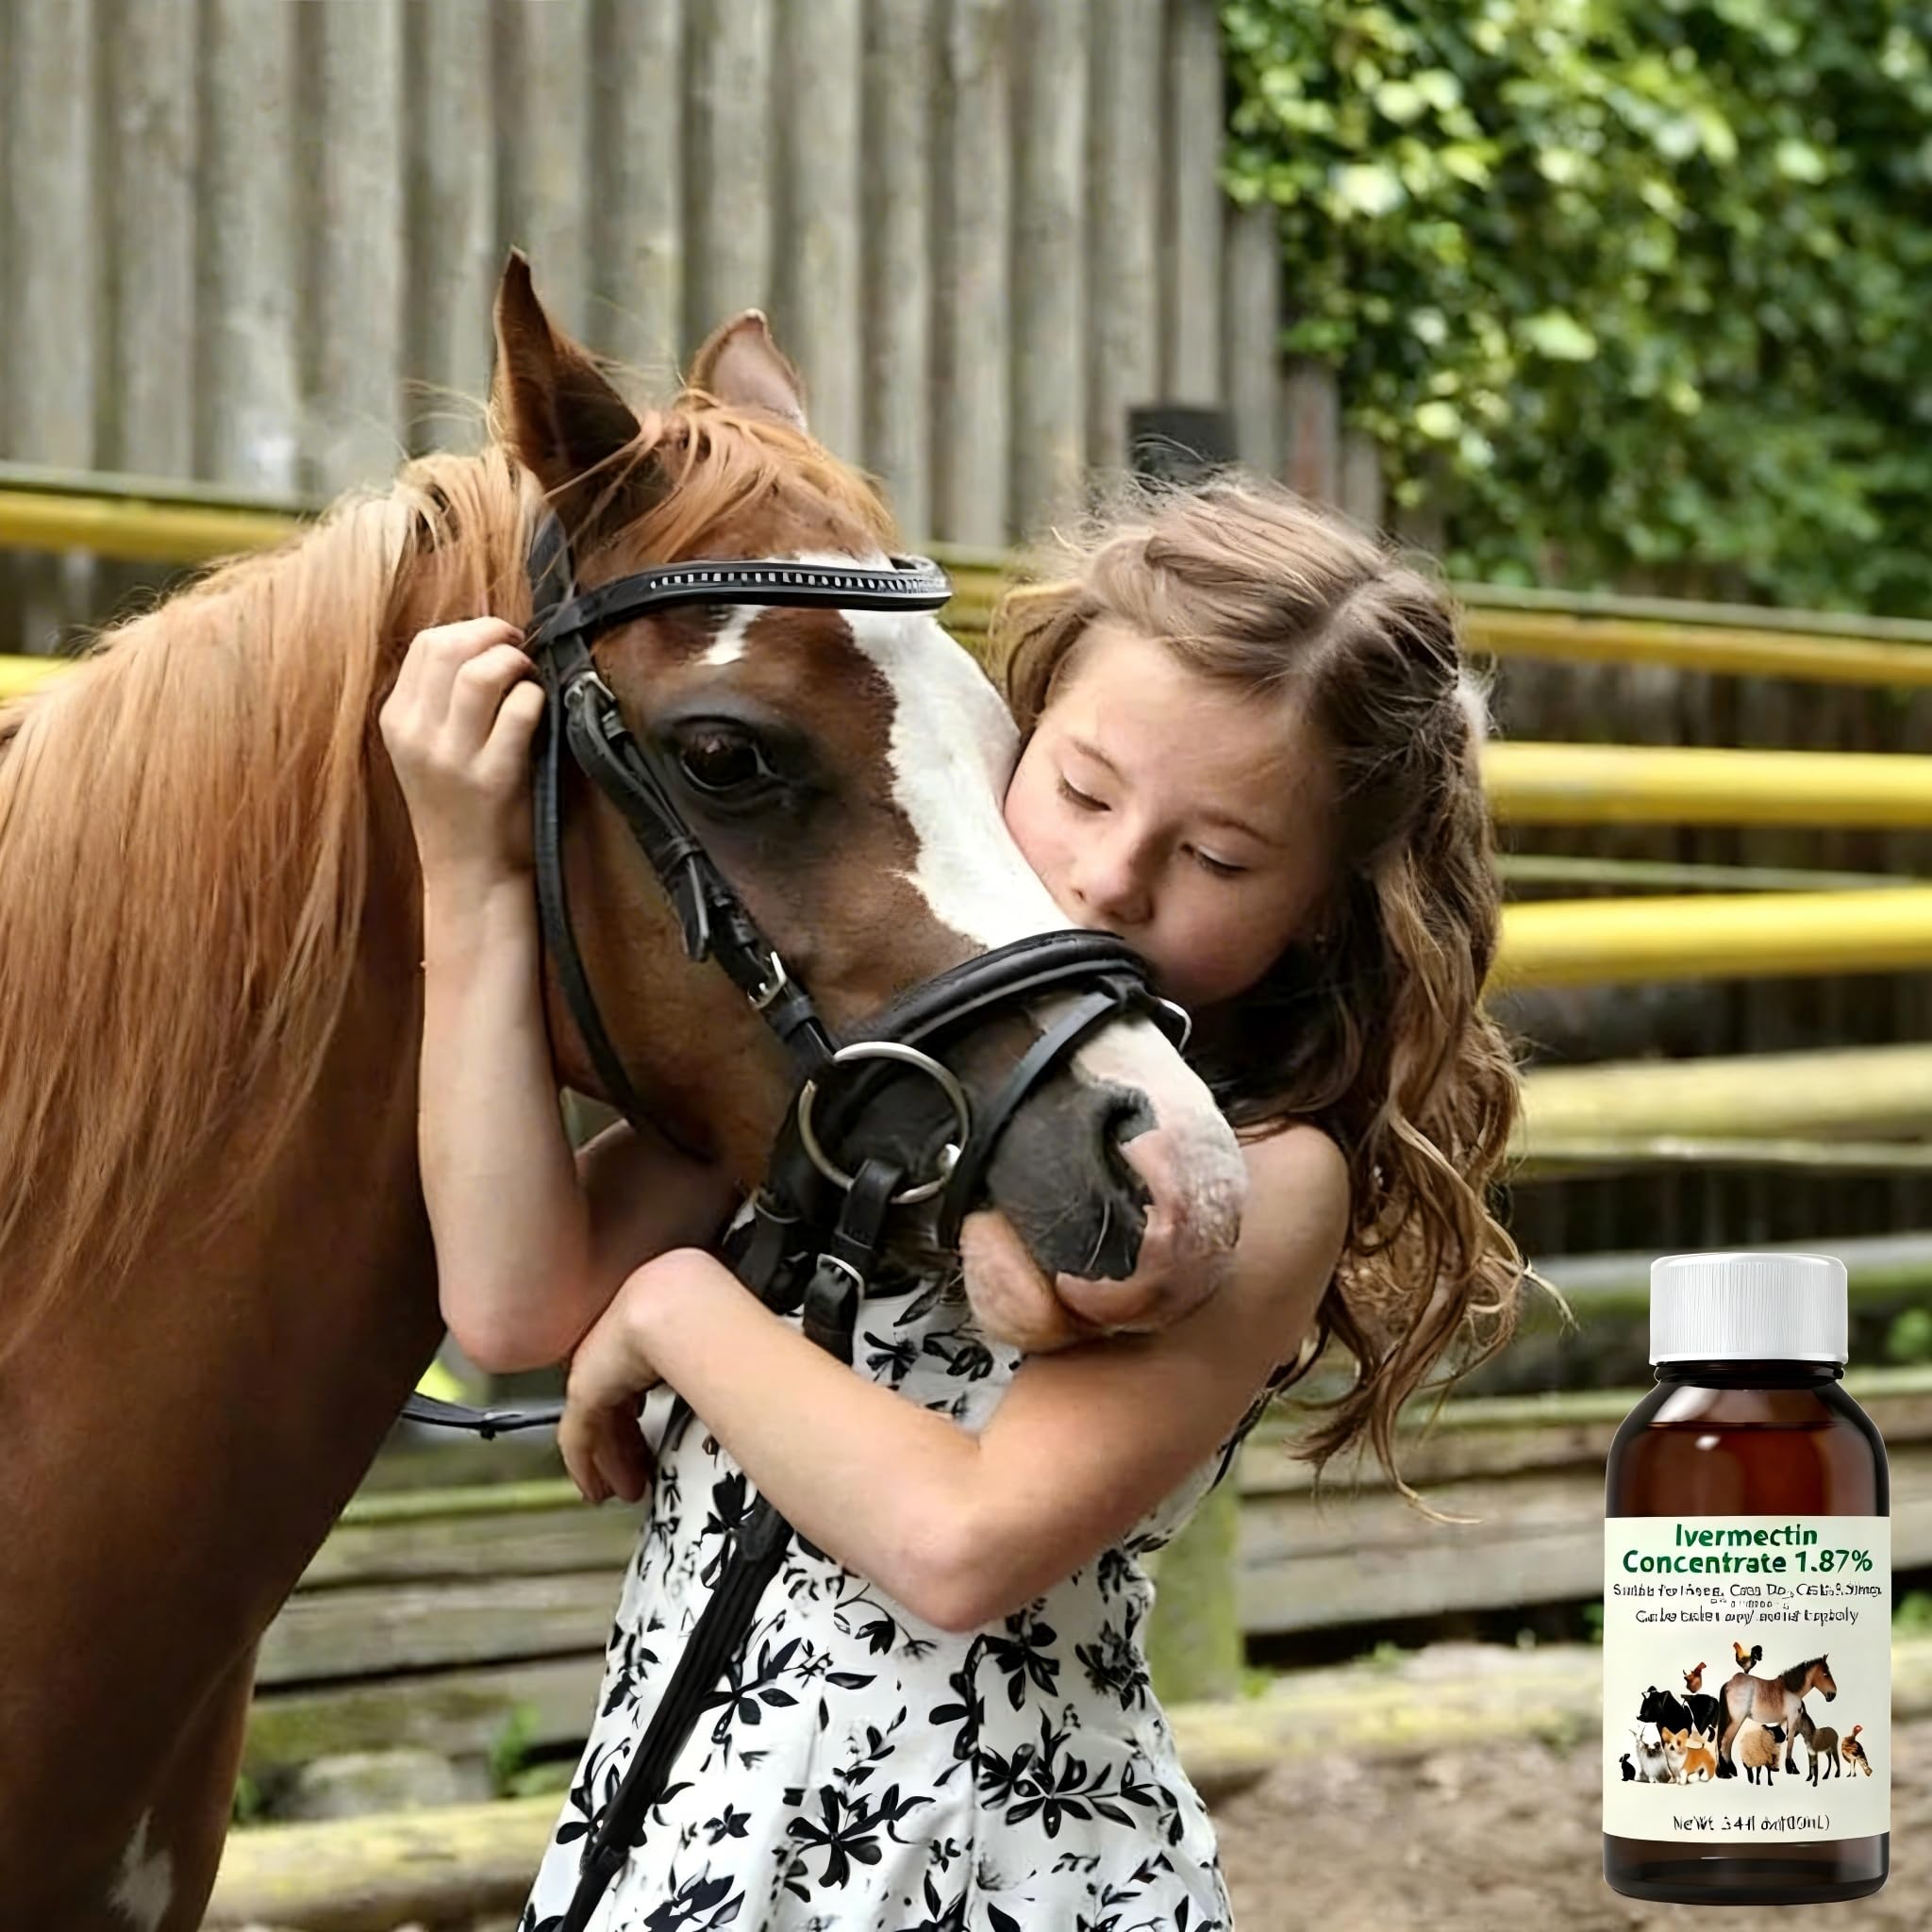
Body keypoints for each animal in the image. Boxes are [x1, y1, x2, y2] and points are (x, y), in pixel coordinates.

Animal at [1717, 1654, 1838, 1777]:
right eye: (1825, 1674)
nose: (1833, 1694)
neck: (1791, 1689)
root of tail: (1729, 1683)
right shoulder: (1793, 1718)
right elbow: (1790, 1743)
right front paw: (1790, 1768)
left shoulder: (1786, 1720)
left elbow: (1784, 1736)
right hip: (1737, 1720)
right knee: (1726, 1742)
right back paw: (1729, 1771)